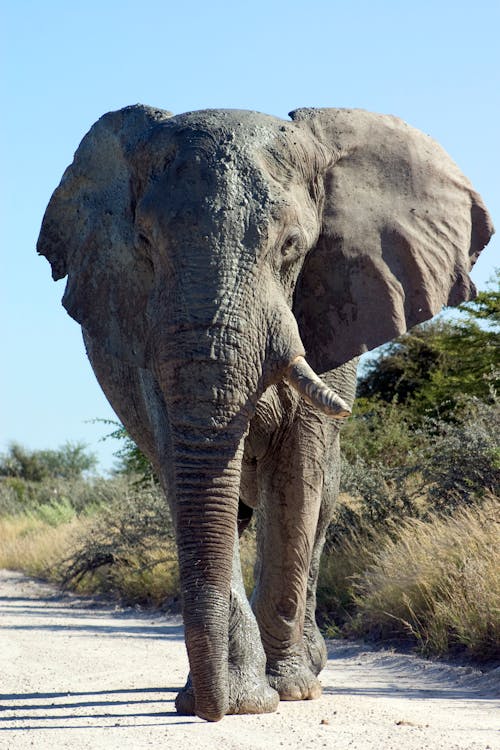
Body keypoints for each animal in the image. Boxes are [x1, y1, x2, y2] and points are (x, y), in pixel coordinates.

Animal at [37, 106, 494, 724]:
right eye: (144, 243)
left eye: (293, 247)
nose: (208, 713)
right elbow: (187, 477)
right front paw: (242, 700)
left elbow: (298, 473)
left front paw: (287, 692)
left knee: (319, 505)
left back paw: (309, 666)